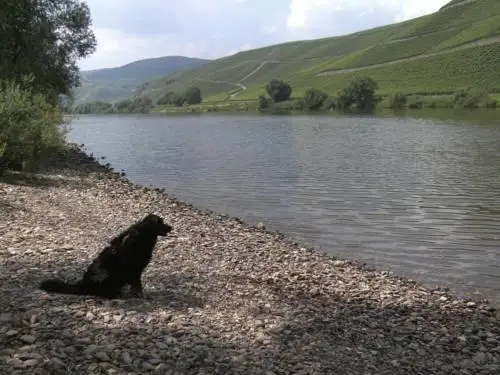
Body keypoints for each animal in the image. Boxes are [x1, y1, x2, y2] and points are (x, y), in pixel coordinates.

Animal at [39, 214, 173, 300]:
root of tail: (83, 284)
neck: (144, 235)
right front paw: (142, 296)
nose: (172, 227)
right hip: (106, 274)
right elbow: (137, 286)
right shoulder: (135, 270)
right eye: (161, 222)